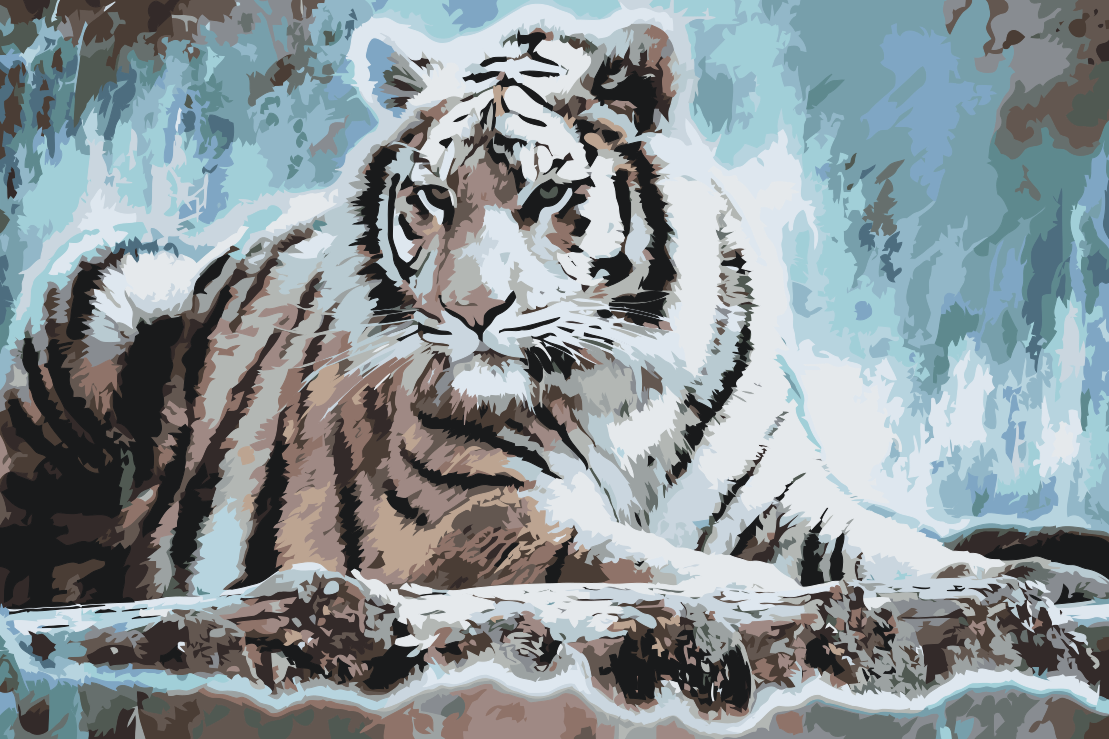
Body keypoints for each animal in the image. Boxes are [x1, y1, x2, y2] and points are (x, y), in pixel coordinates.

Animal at [0, 6, 1065, 608]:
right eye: (433, 199)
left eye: (549, 195)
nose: (472, 311)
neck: (627, 391)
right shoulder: (481, 515)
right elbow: (632, 558)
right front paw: (759, 588)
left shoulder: (778, 497)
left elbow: (884, 544)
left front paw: (1002, 575)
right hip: (107, 280)